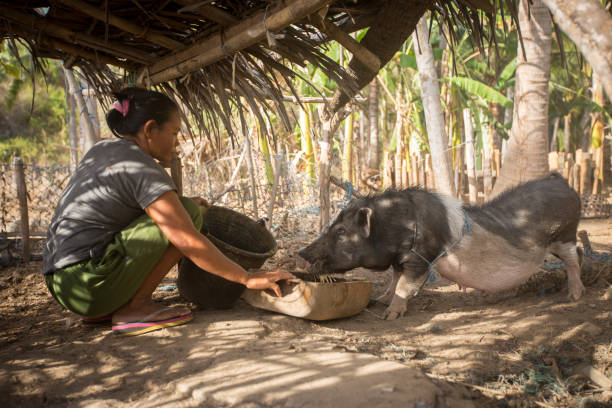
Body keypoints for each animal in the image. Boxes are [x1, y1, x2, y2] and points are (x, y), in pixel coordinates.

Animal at [298, 171, 584, 318]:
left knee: (574, 259)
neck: (396, 226)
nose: (301, 251)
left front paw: (390, 314)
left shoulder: (420, 257)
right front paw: (379, 301)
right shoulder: (400, 259)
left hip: (566, 234)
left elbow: (405, 284)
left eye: (341, 231)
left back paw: (573, 296)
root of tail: (560, 180)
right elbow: (394, 279)